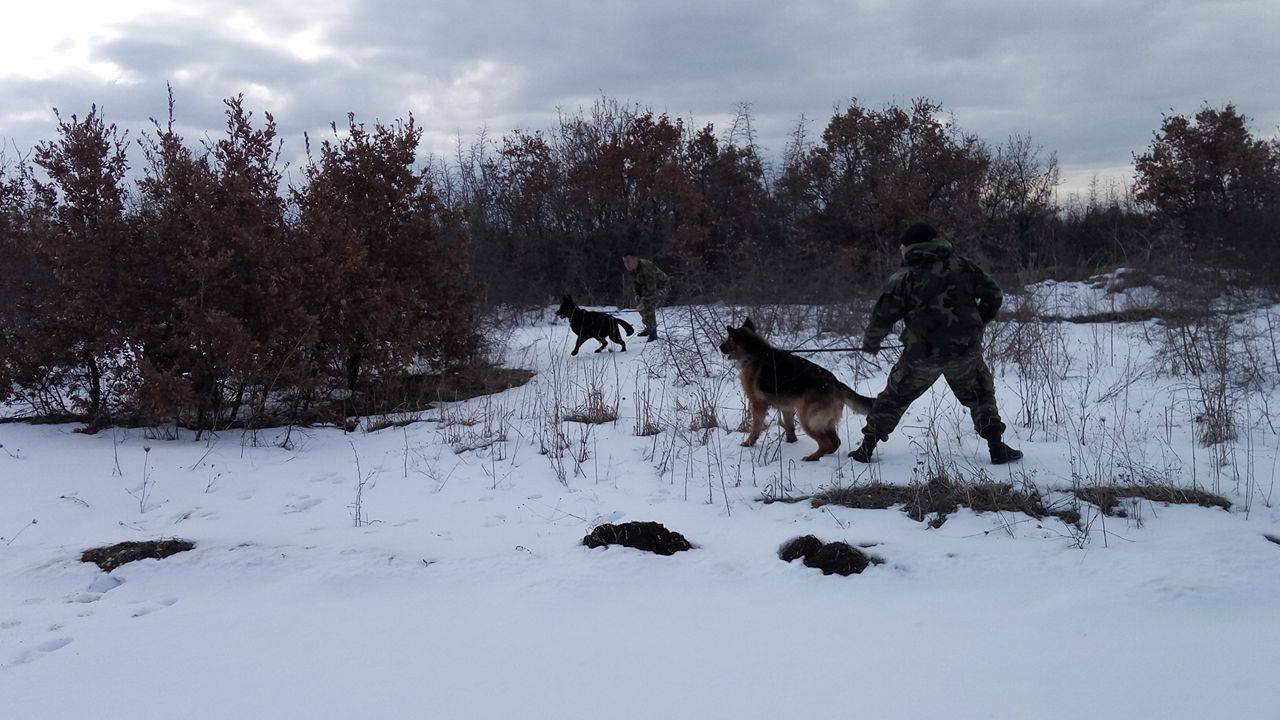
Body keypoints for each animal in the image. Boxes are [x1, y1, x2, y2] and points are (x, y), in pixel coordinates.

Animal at [716, 315, 875, 458]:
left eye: (728, 340)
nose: (719, 347)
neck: (756, 353)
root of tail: (835, 382)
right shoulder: (786, 407)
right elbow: (789, 426)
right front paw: (791, 442)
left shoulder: (757, 405)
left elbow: (755, 428)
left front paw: (749, 443)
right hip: (824, 422)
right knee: (835, 442)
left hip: (807, 420)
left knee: (825, 442)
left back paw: (812, 457)